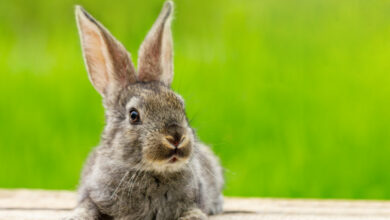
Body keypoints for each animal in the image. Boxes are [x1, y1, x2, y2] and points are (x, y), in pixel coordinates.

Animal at [67, 0, 224, 219]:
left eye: (181, 106)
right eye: (134, 115)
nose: (176, 137)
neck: (151, 172)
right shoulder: (93, 196)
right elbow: (86, 208)